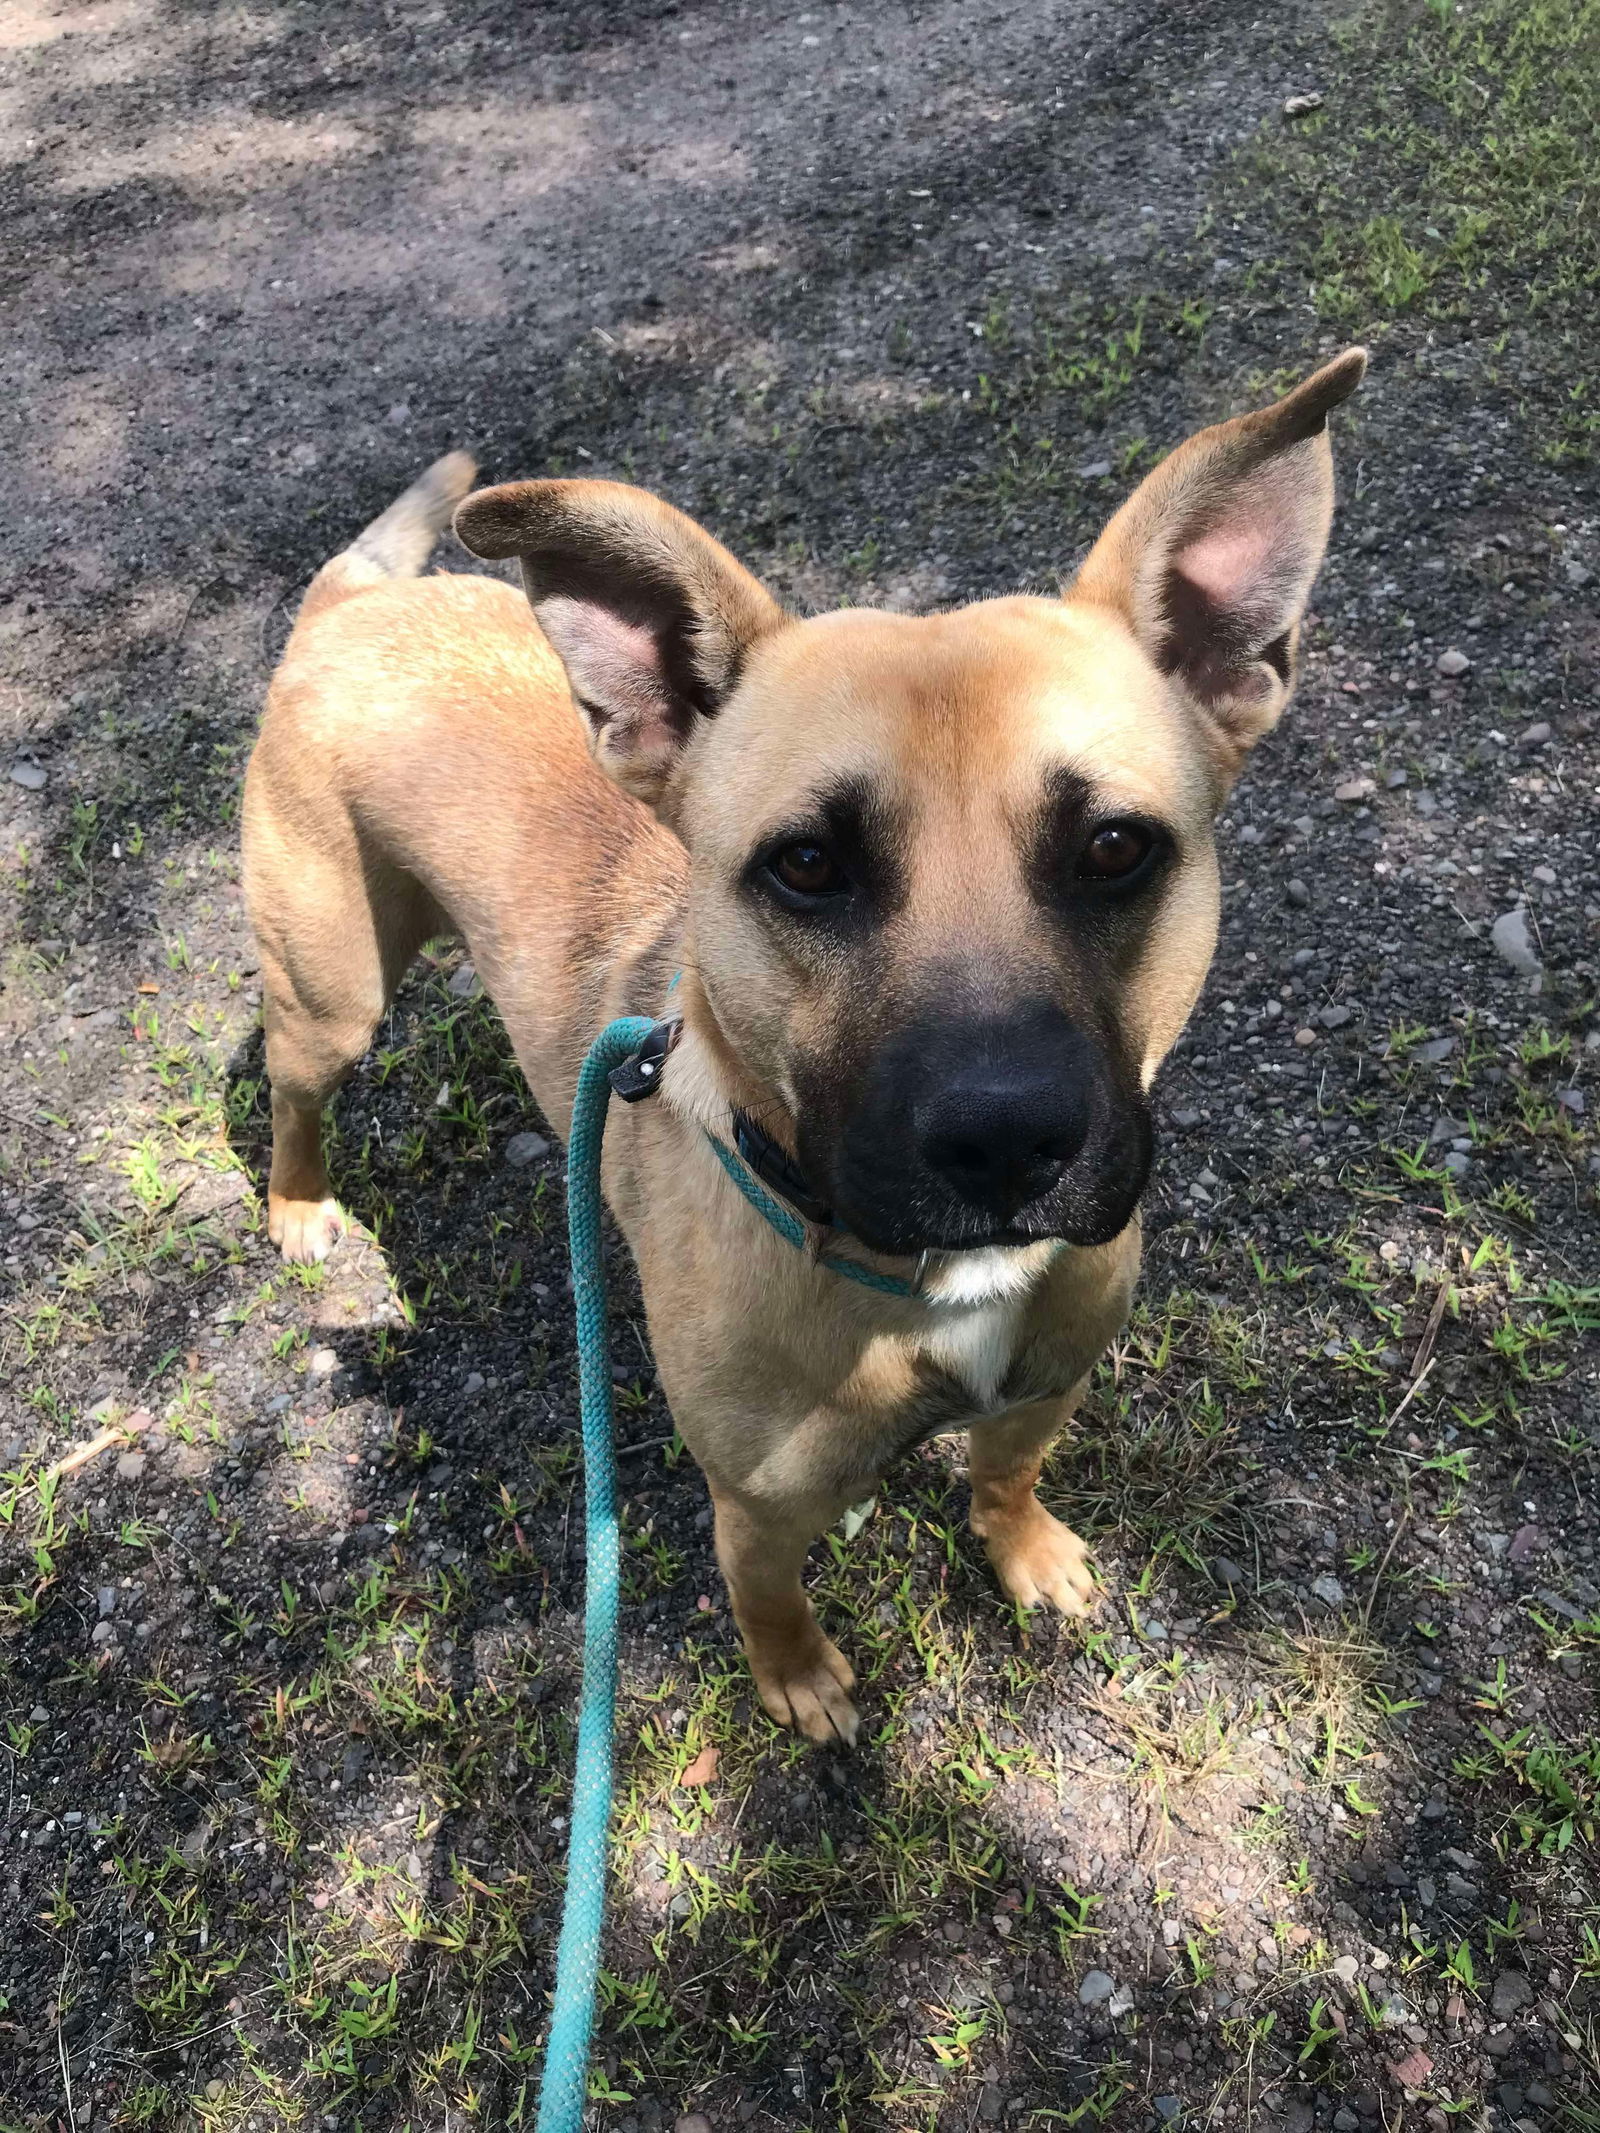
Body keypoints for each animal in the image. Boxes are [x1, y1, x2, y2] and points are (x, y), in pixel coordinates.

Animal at [244, 349, 1373, 1740]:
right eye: (807, 866)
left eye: (1116, 848)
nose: (1004, 1139)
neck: (934, 1284)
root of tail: (352, 605)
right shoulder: (760, 1510)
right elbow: (769, 1605)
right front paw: (801, 1684)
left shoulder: (1045, 1388)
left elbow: (1003, 1477)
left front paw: (1027, 1552)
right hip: (332, 993)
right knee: (293, 1091)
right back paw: (300, 1203)